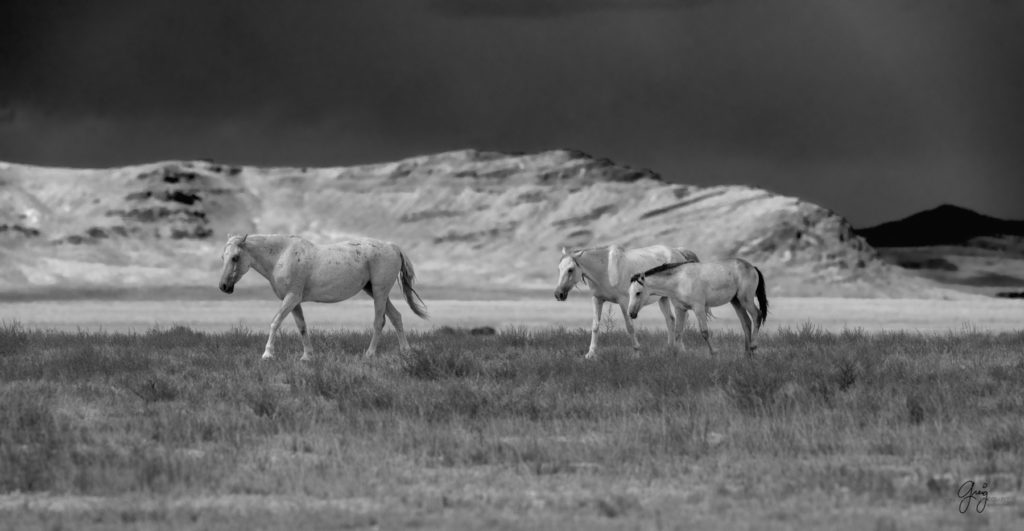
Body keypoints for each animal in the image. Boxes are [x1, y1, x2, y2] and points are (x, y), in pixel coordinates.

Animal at [218, 234, 425, 362]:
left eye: (235, 257)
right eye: (223, 257)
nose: (223, 287)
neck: (281, 255)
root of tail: (393, 246)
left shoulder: (291, 298)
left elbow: (275, 322)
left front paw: (267, 354)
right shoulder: (294, 302)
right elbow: (302, 327)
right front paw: (307, 356)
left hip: (380, 292)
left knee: (379, 322)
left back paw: (370, 354)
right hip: (374, 291)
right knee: (396, 317)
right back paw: (406, 352)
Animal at [557, 244, 700, 360]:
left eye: (570, 269)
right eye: (559, 268)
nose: (558, 294)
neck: (606, 270)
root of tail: (678, 251)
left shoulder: (624, 302)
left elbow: (630, 326)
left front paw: (636, 352)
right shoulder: (597, 299)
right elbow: (595, 326)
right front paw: (591, 354)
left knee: (681, 318)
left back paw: (681, 348)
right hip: (663, 298)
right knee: (670, 319)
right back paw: (670, 348)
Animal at [622, 258, 770, 358]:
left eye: (638, 293)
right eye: (629, 292)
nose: (631, 313)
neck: (679, 281)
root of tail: (752, 267)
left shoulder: (698, 308)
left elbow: (704, 332)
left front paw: (714, 353)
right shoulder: (680, 309)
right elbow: (678, 332)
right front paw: (676, 354)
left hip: (746, 300)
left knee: (757, 316)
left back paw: (753, 347)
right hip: (736, 302)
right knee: (746, 323)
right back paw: (746, 353)